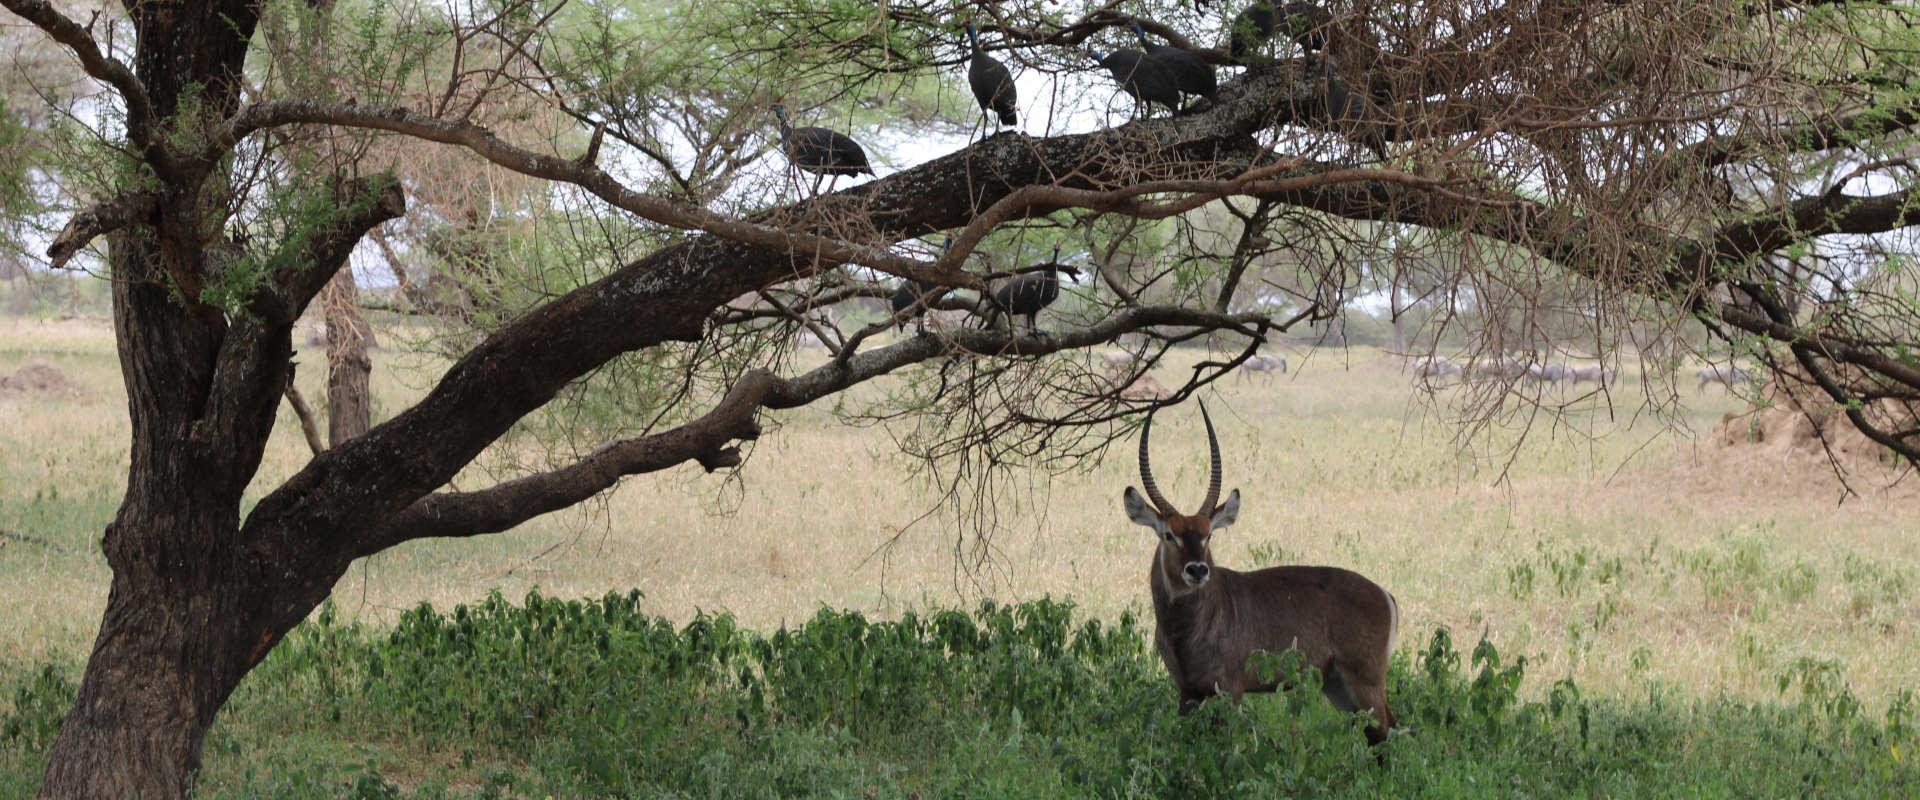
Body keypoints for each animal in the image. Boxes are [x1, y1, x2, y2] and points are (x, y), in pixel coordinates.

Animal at [1121, 402, 1405, 752]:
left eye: (1208, 535)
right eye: (1169, 535)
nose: (1197, 569)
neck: (1184, 630)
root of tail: (1385, 595)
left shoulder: (1230, 689)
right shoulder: (1187, 691)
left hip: (1365, 678)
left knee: (1387, 730)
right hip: (1336, 683)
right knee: (1376, 733)